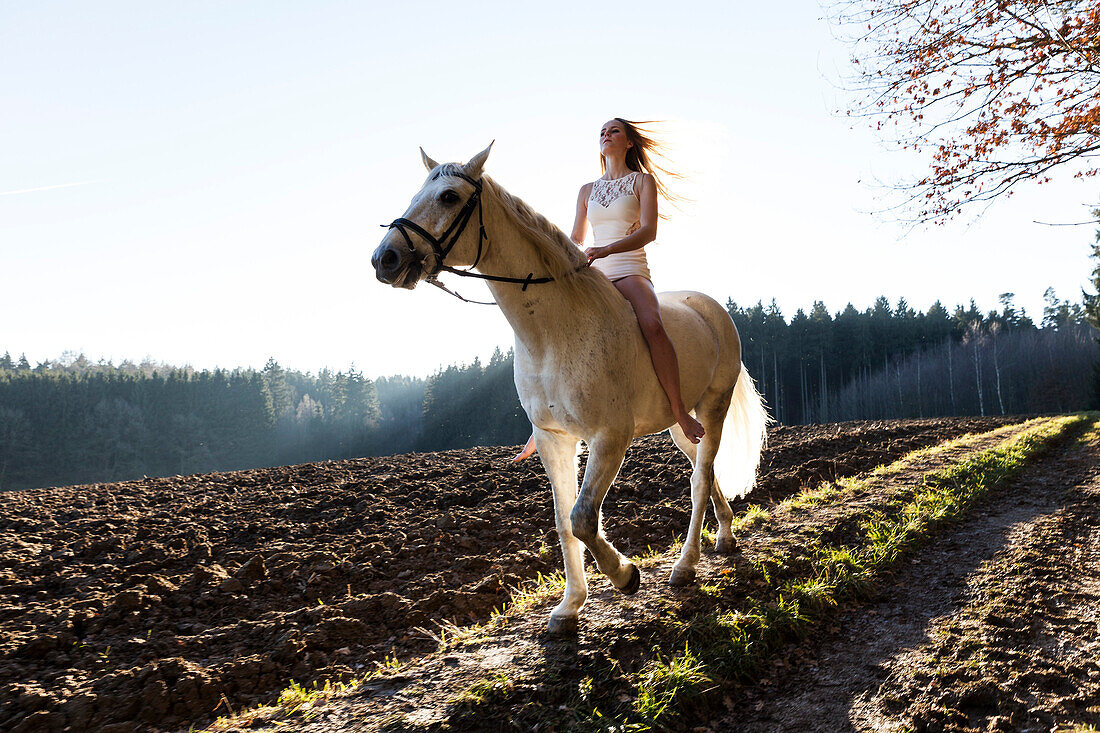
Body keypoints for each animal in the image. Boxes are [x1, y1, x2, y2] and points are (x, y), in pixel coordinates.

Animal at [374, 145, 770, 629]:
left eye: (449, 197)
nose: (385, 259)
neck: (552, 334)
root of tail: (713, 308)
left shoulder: (610, 437)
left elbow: (584, 518)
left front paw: (625, 575)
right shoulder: (553, 438)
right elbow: (564, 521)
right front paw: (569, 606)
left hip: (713, 406)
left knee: (698, 479)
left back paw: (685, 564)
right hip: (681, 425)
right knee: (706, 468)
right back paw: (726, 536)